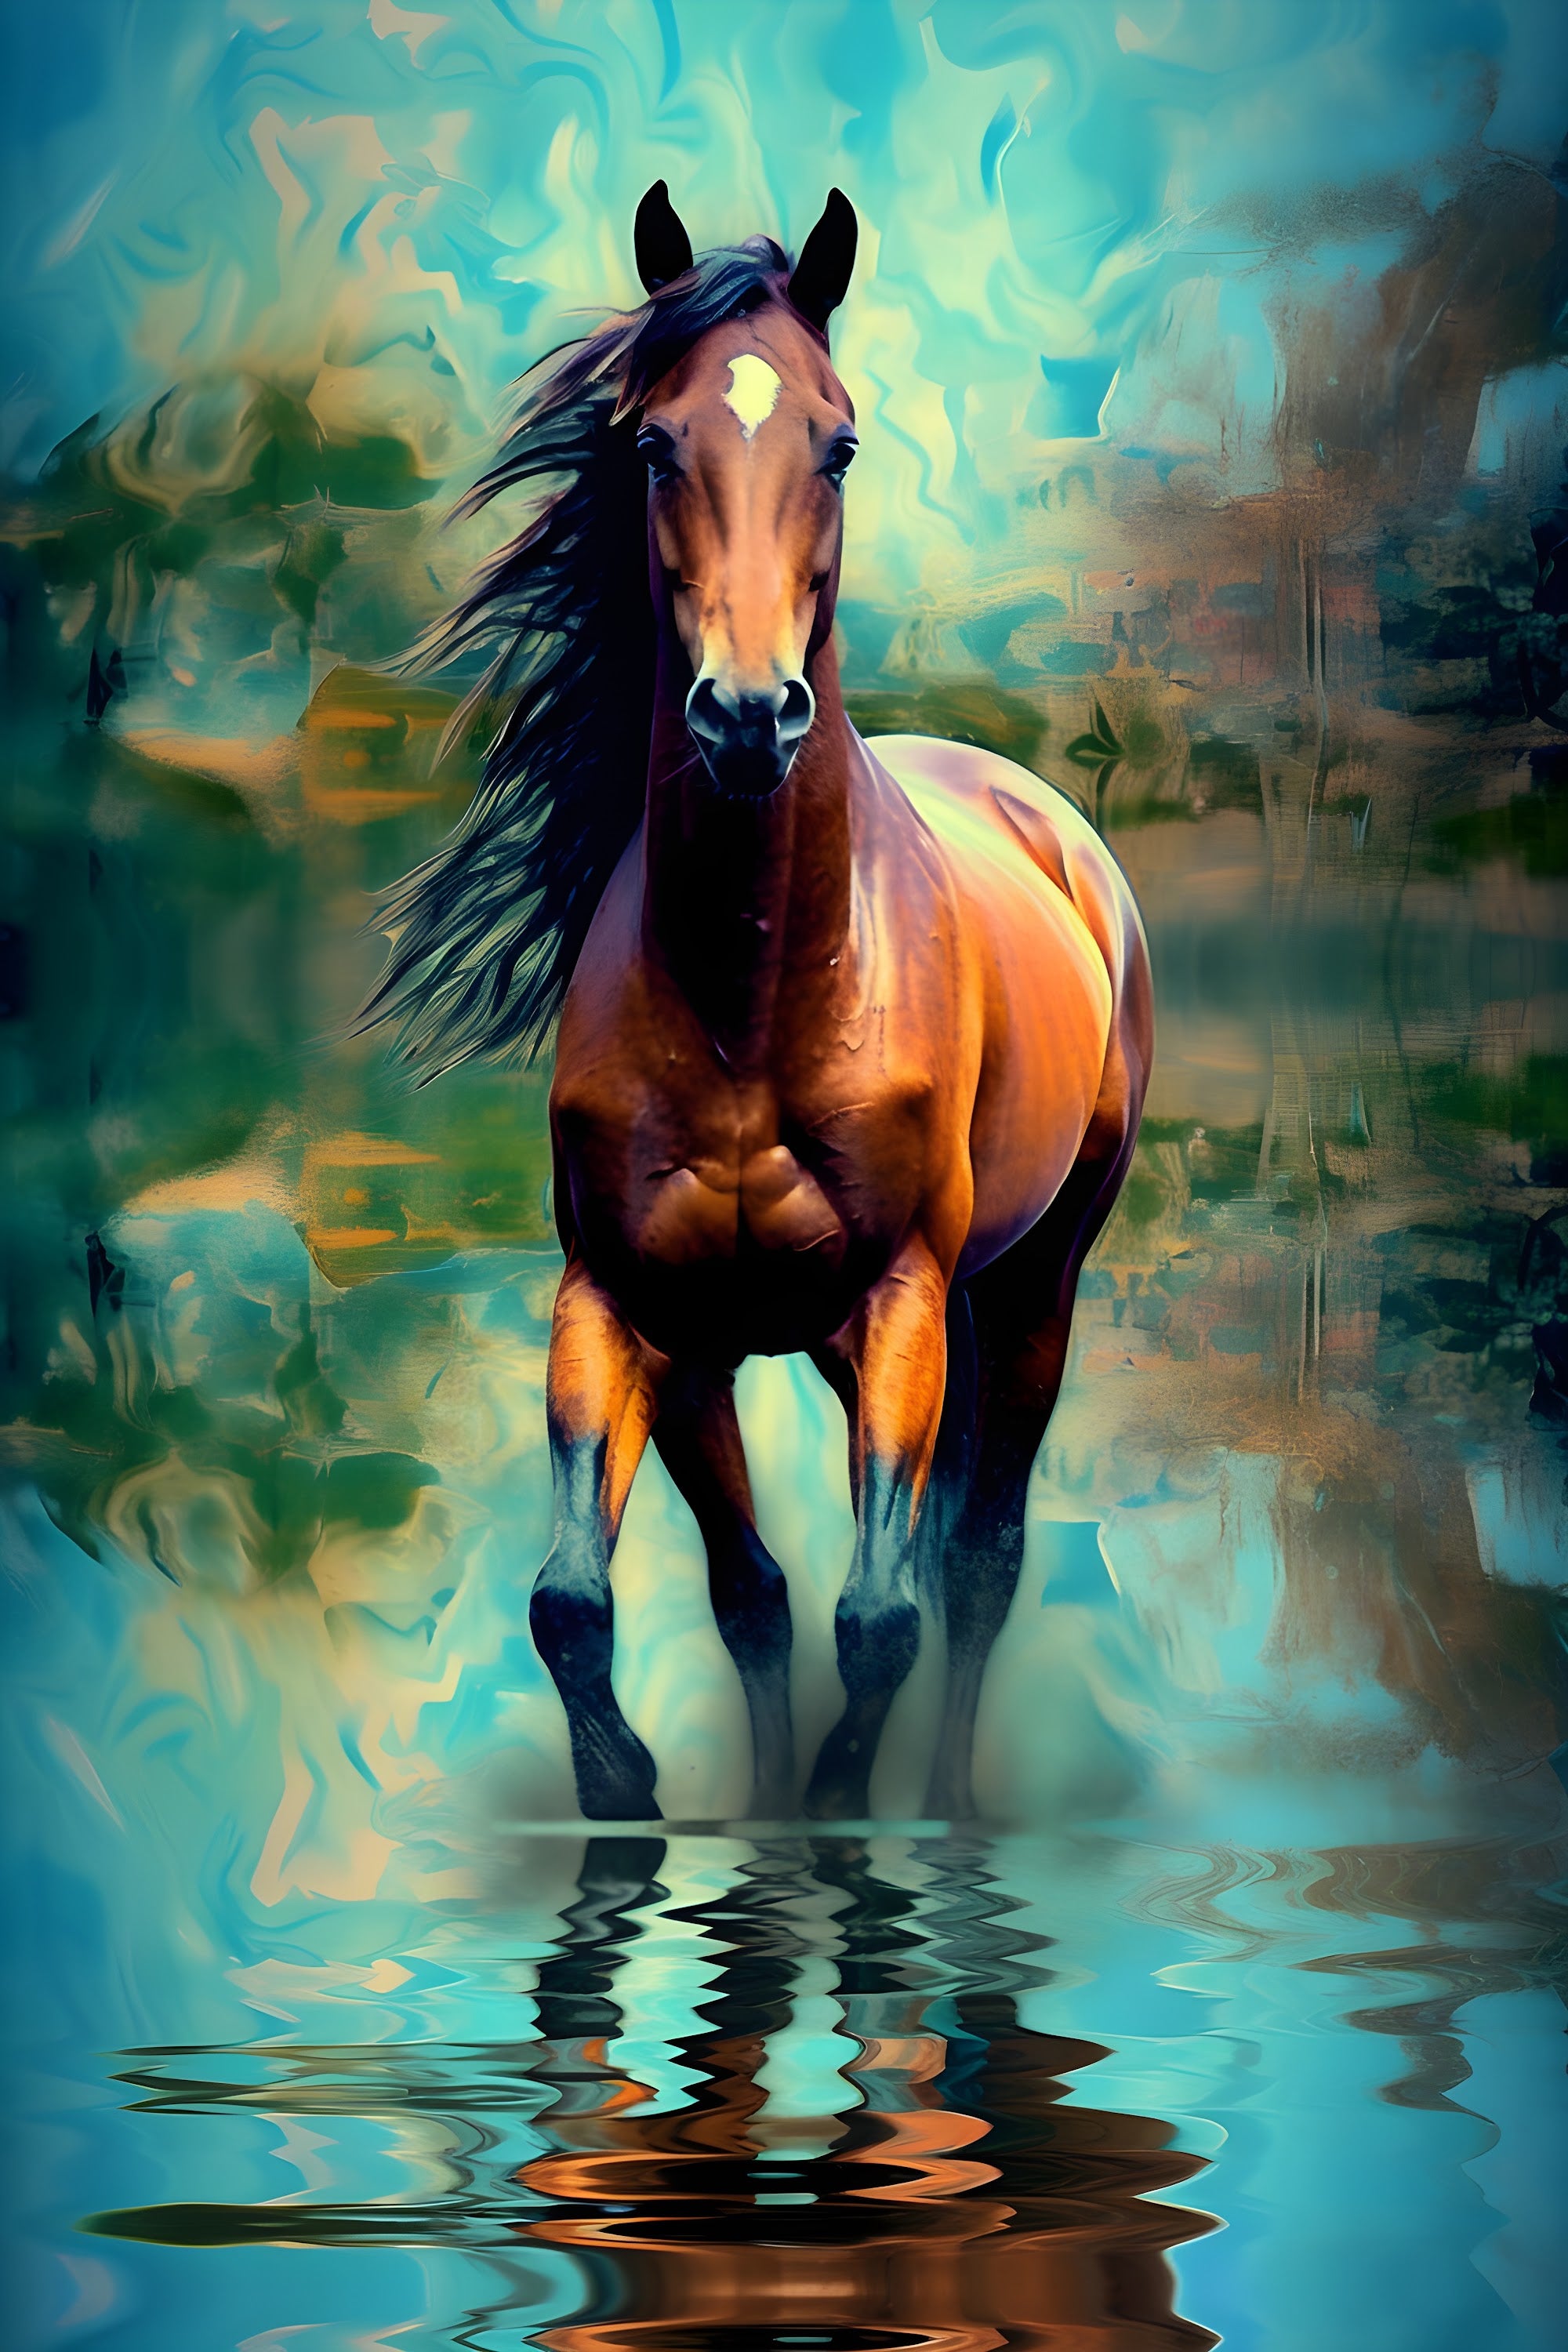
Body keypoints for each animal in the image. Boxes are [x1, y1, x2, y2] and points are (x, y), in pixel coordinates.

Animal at [367, 185, 1153, 1822]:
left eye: (838, 441)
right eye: (653, 443)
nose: (745, 712)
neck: (757, 998)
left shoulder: (904, 1298)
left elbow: (882, 1616)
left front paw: (844, 1816)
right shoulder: (634, 1312)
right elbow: (627, 1602)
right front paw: (645, 1795)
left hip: (1033, 1282)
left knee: (978, 1562)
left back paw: (953, 1806)